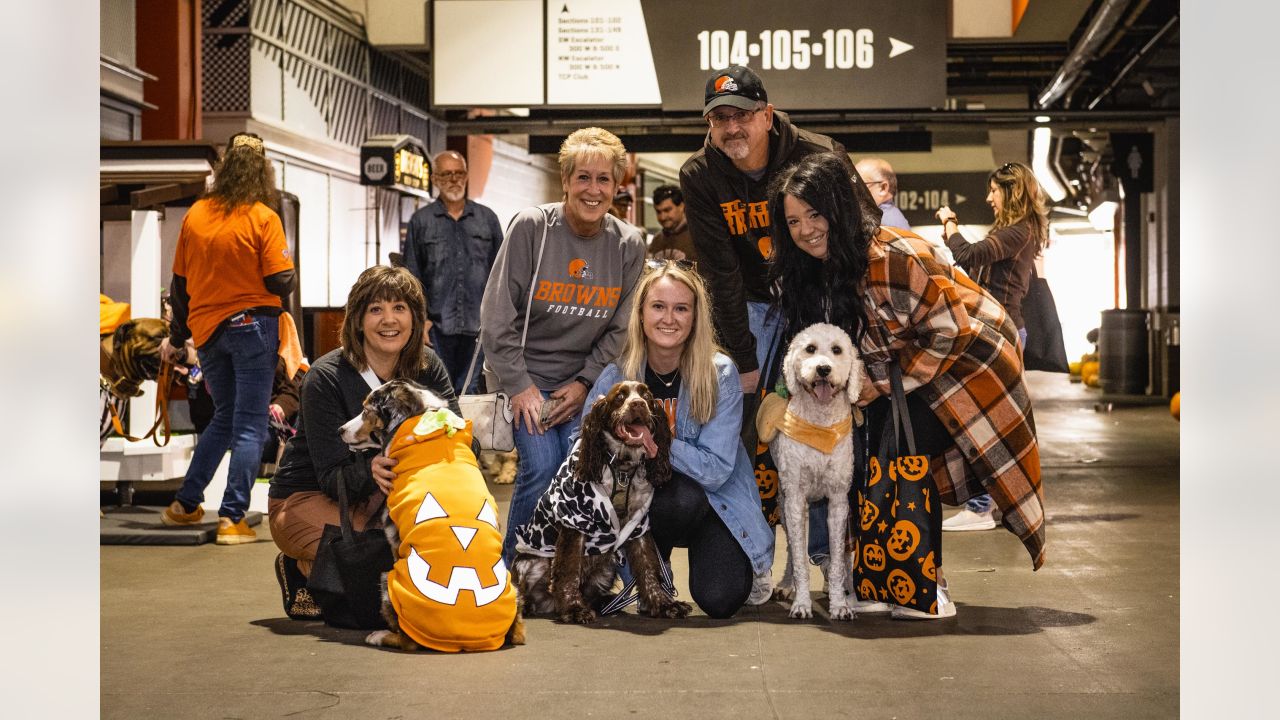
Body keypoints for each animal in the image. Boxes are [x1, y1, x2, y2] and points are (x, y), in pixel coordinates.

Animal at [509, 381, 691, 622]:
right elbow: (568, 569)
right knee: (527, 591)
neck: (621, 468)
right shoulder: (575, 520)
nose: (638, 404)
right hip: (531, 563)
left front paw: (663, 604)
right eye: (620, 397)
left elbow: (648, 567)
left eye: (646, 396)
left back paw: (606, 603)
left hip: (606, 566)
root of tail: (546, 605)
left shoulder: (638, 524)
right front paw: (573, 609)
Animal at [762, 319, 865, 617]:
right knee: (791, 550)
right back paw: (787, 585)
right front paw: (801, 603)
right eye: (810, 348)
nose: (823, 369)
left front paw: (840, 605)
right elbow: (798, 557)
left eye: (837, 350)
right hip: (785, 503)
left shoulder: (839, 501)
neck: (820, 425)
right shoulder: (796, 500)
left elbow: (838, 556)